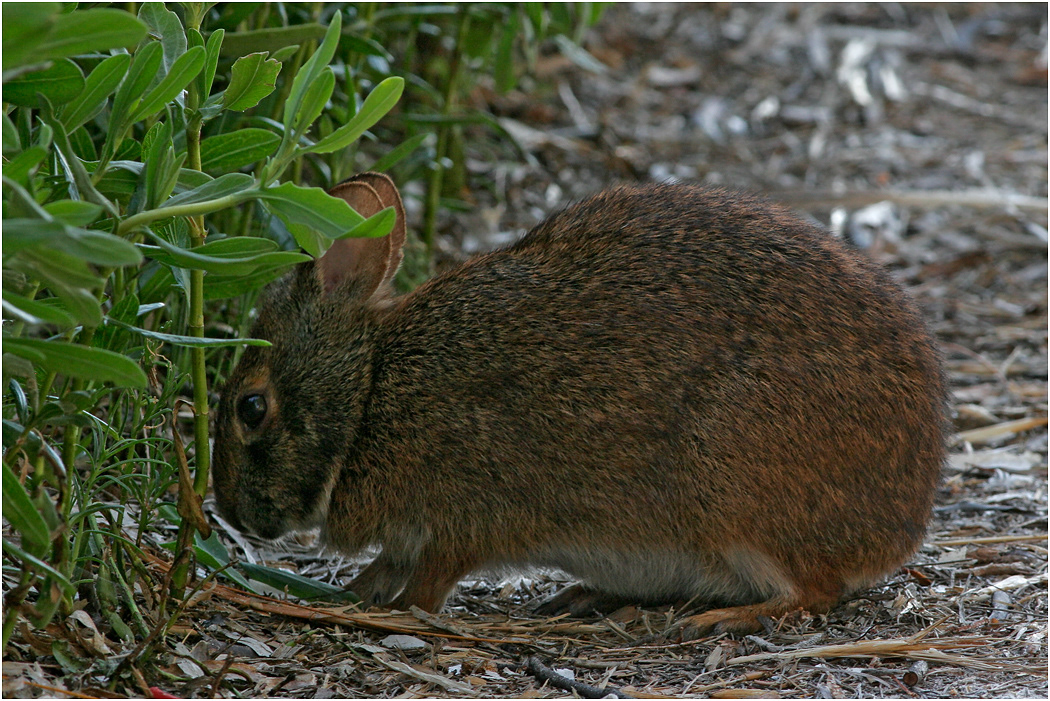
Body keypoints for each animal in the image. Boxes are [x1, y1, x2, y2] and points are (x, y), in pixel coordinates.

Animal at [212, 173, 946, 639]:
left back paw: (713, 619)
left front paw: (391, 612)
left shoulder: (462, 512)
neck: (369, 396)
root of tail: (903, 523)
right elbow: (387, 564)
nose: (231, 511)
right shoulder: (410, 527)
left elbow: (431, 578)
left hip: (736, 488)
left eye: (252, 407)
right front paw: (350, 594)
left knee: (811, 590)